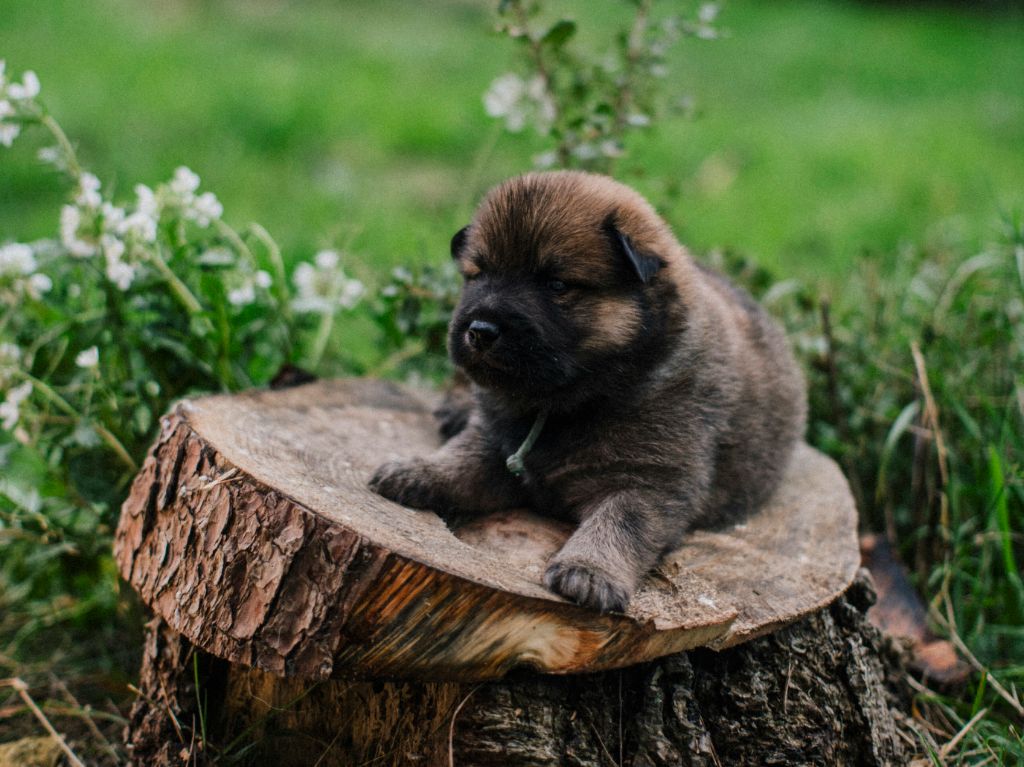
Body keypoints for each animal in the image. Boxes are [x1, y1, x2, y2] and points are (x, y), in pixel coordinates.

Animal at [368, 172, 806, 610]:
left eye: (556, 284)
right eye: (477, 274)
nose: (479, 330)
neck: (565, 402)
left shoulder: (649, 481)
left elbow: (621, 522)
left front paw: (589, 571)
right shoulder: (497, 441)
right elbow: (461, 458)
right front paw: (417, 470)